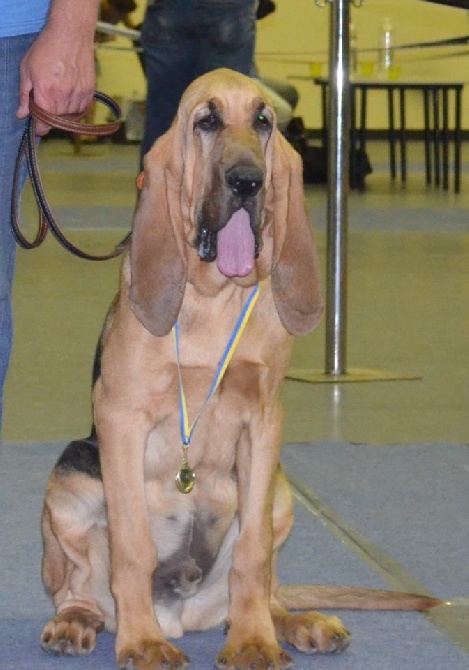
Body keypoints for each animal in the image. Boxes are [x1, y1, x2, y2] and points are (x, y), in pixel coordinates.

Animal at [40, 69, 438, 670]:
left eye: (263, 120)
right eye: (206, 120)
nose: (248, 181)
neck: (214, 298)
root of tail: (182, 617)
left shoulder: (264, 422)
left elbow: (253, 553)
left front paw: (253, 641)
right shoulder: (120, 418)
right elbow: (131, 546)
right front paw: (142, 643)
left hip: (280, 491)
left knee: (267, 584)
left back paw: (297, 622)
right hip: (69, 478)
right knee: (78, 585)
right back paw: (81, 623)